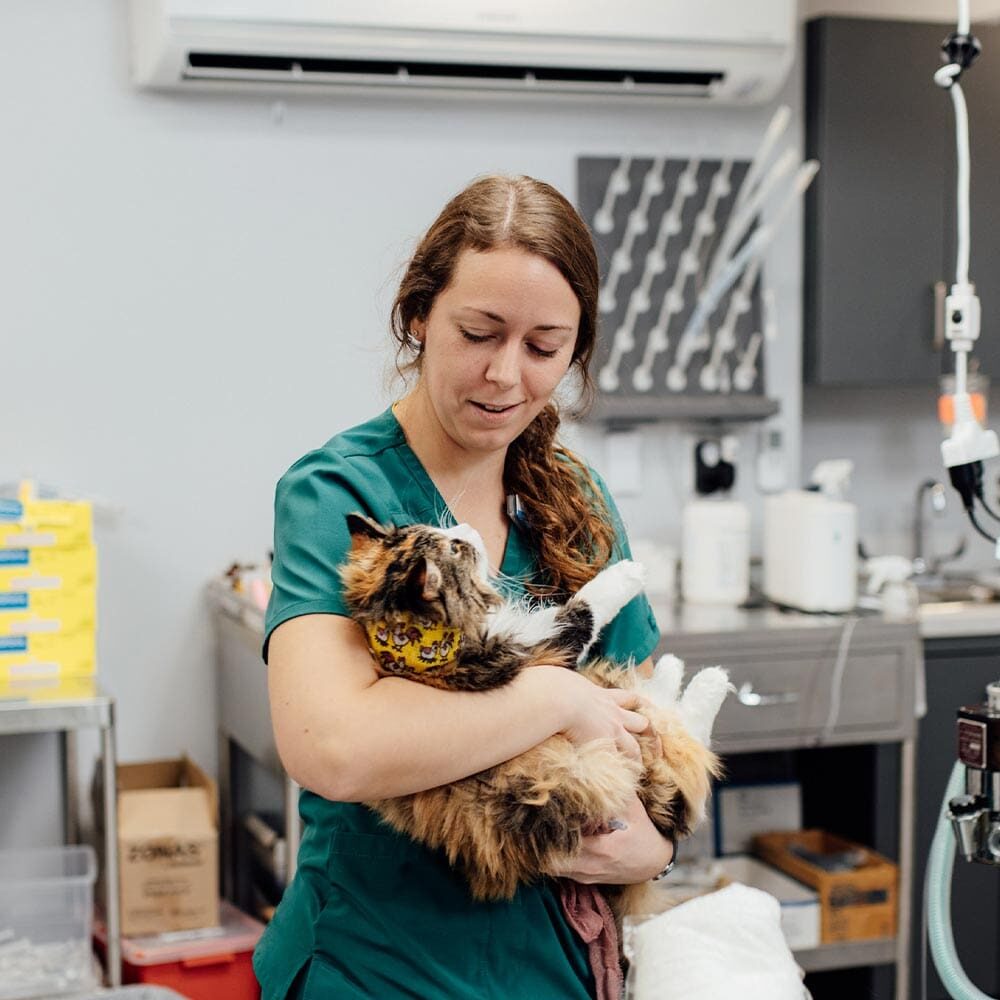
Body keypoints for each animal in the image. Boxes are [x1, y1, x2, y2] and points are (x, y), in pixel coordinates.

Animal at [342, 512, 728, 912]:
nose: (466, 529)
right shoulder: (545, 645)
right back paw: (708, 677)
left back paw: (673, 668)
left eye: (449, 536)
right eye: (455, 548)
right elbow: (584, 609)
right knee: (685, 748)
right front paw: (628, 572)